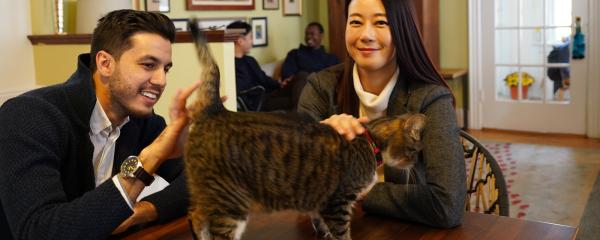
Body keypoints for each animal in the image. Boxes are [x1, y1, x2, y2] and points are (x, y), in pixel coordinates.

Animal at [185, 19, 424, 240]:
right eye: (414, 151)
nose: (415, 164)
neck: (369, 140)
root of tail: (216, 109)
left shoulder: (321, 203)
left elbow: (320, 223)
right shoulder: (338, 203)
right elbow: (342, 233)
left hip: (209, 191)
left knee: (195, 215)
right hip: (231, 200)